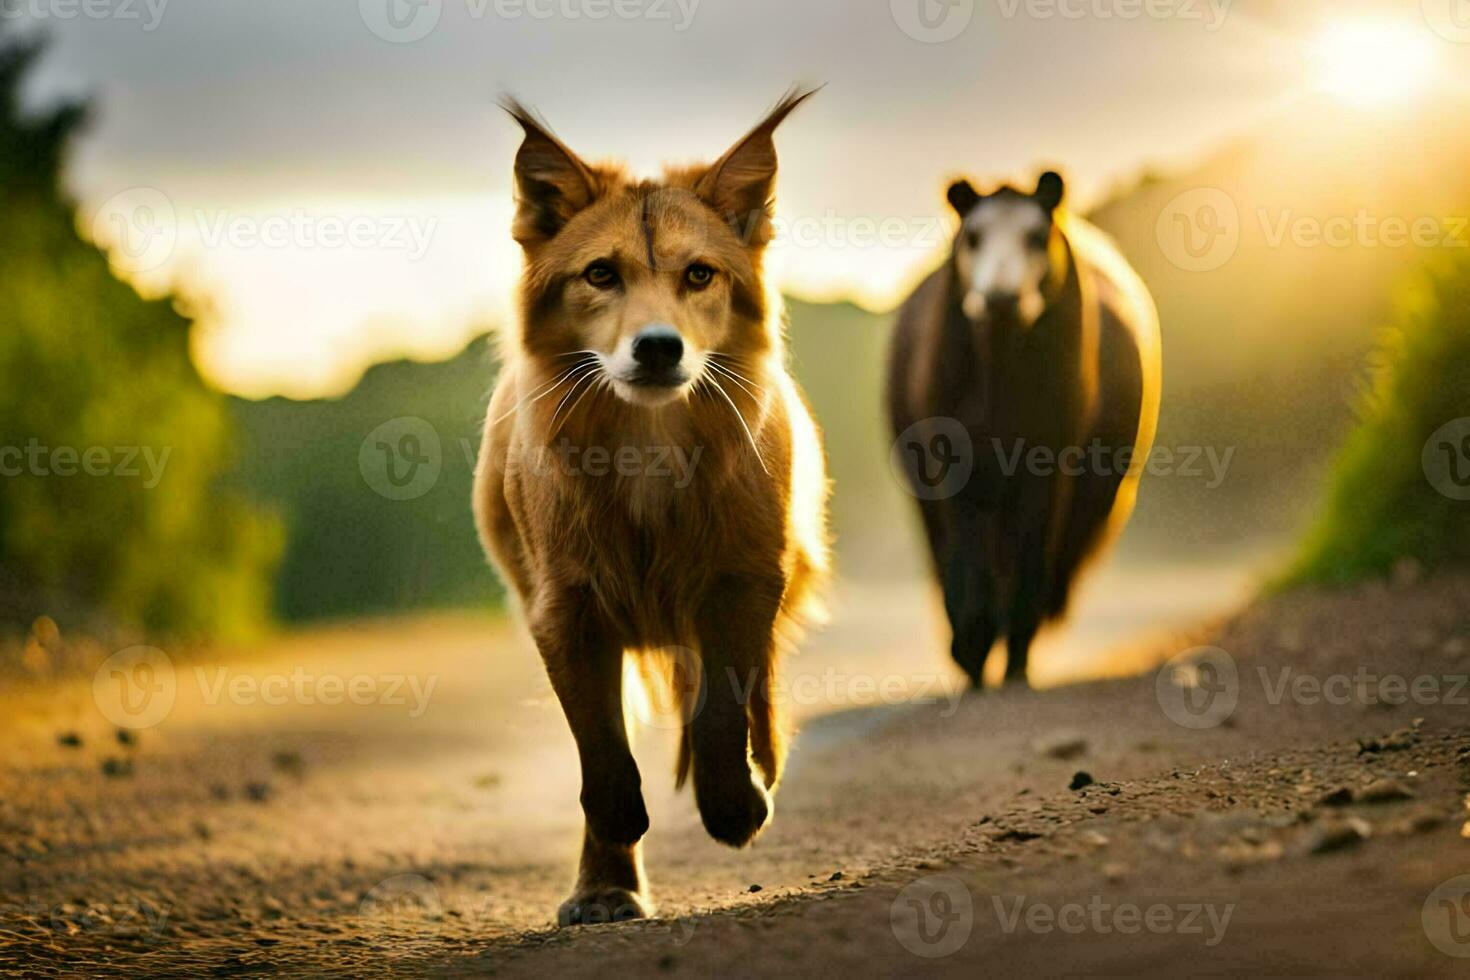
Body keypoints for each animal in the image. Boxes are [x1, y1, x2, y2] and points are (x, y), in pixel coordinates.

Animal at [476, 88, 834, 922]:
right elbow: (599, 741)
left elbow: (721, 708)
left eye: (699, 274)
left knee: (754, 689)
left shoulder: (742, 578)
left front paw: (734, 803)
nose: (659, 347)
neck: (648, 441)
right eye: (600, 274)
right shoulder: (563, 604)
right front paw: (612, 843)